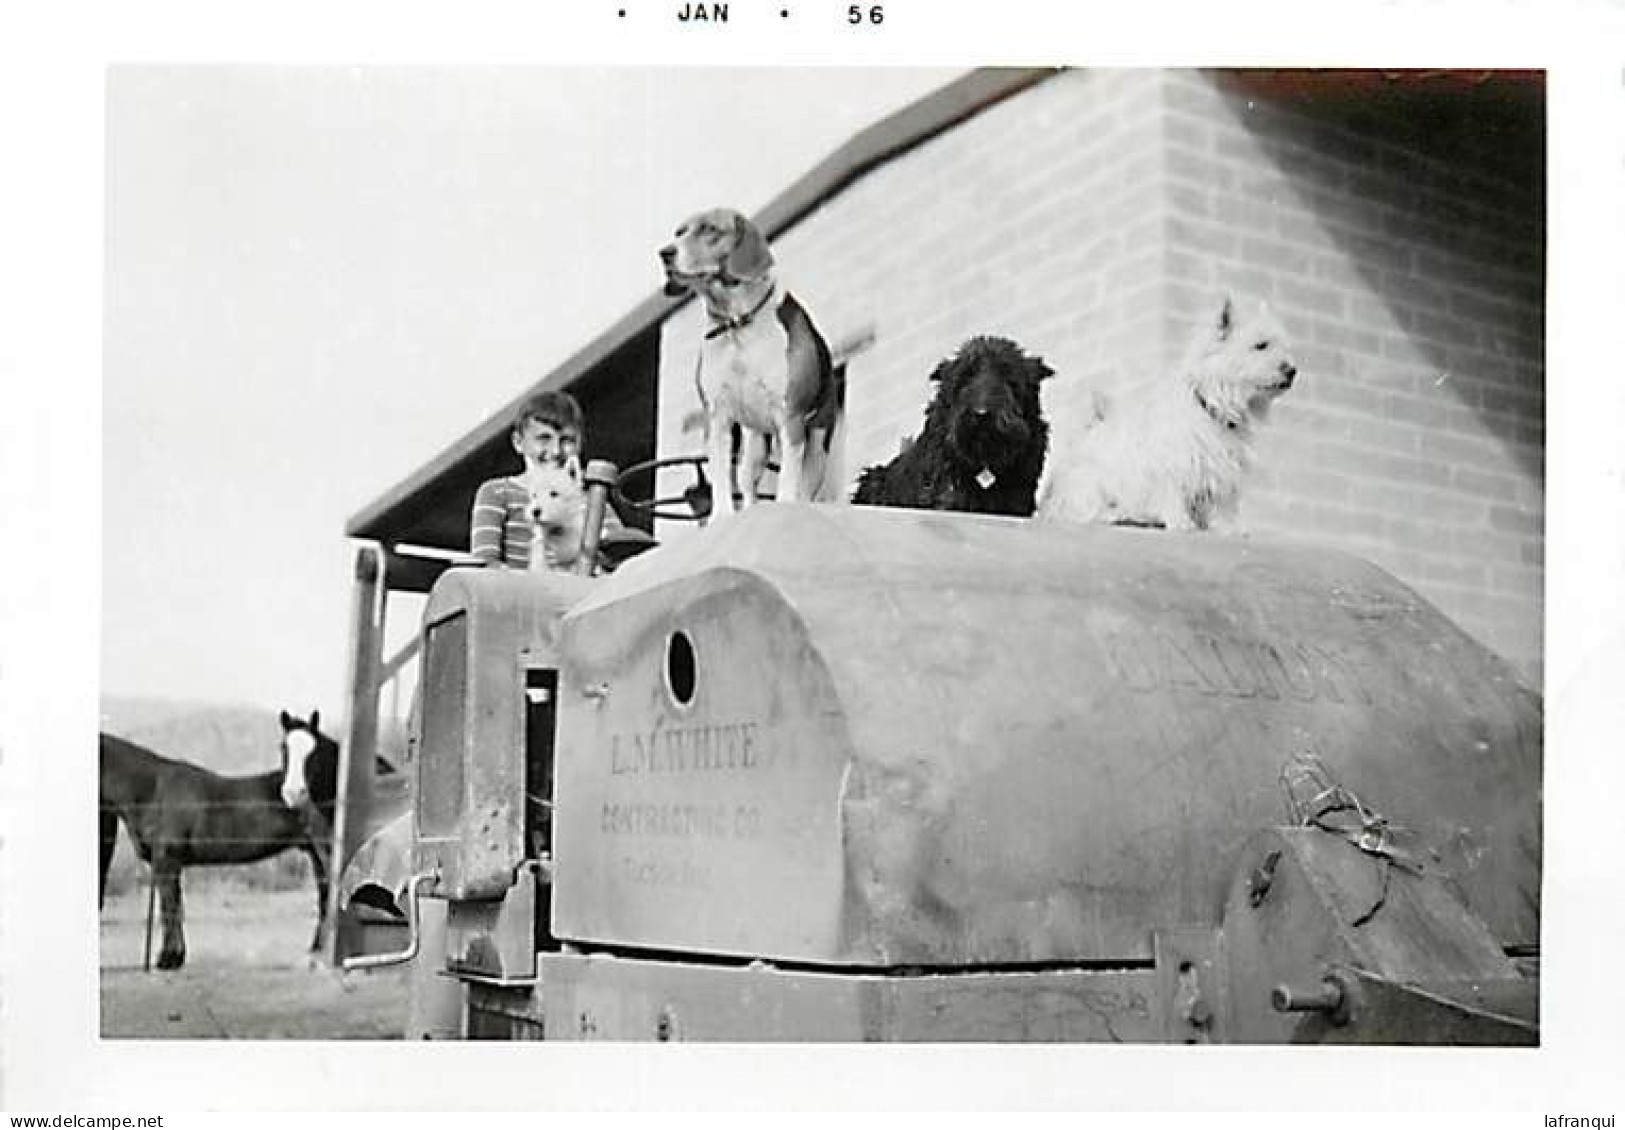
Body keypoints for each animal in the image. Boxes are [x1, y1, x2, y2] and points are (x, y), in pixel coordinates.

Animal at [98, 712, 359, 969]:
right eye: (283, 749)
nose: (294, 794)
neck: (153, 790)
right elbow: (176, 906)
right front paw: (176, 956)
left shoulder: (167, 861)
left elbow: (169, 907)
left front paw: (168, 959)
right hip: (316, 854)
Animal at [659, 206, 838, 517]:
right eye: (678, 232)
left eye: (709, 229)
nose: (665, 253)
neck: (735, 324)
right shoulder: (717, 417)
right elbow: (720, 481)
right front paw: (721, 517)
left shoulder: (790, 416)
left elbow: (788, 485)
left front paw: (785, 505)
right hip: (753, 446)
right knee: (747, 486)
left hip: (816, 445)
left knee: (804, 487)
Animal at [1040, 299, 1293, 533]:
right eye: (1261, 346)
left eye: (1282, 346)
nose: (1292, 371)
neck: (1212, 406)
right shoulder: (1172, 467)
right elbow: (1173, 494)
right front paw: (1181, 523)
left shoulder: (1225, 470)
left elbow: (1227, 503)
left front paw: (1231, 528)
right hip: (1088, 486)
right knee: (1082, 511)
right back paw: (1120, 515)